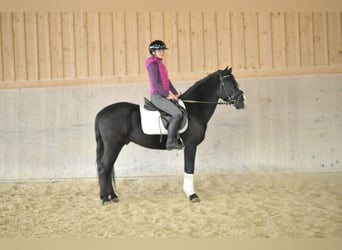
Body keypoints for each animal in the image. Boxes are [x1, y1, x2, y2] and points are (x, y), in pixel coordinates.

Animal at [95, 67, 246, 204]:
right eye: (229, 84)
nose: (242, 102)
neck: (194, 110)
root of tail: (102, 113)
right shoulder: (191, 145)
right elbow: (189, 168)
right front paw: (192, 195)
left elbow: (187, 169)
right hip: (113, 145)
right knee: (104, 167)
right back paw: (105, 198)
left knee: (108, 168)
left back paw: (113, 196)